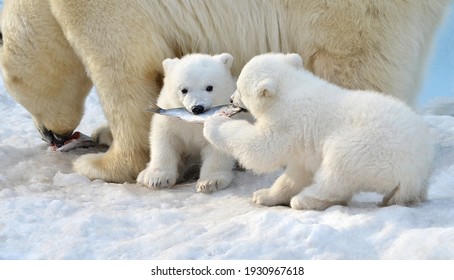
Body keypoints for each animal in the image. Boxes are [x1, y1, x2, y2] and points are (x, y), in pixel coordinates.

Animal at [0, 0, 450, 183]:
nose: (50, 136)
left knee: (353, 66)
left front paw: (103, 165)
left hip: (349, 12)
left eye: (16, 92)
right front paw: (102, 134)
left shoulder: (101, 9)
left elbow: (126, 69)